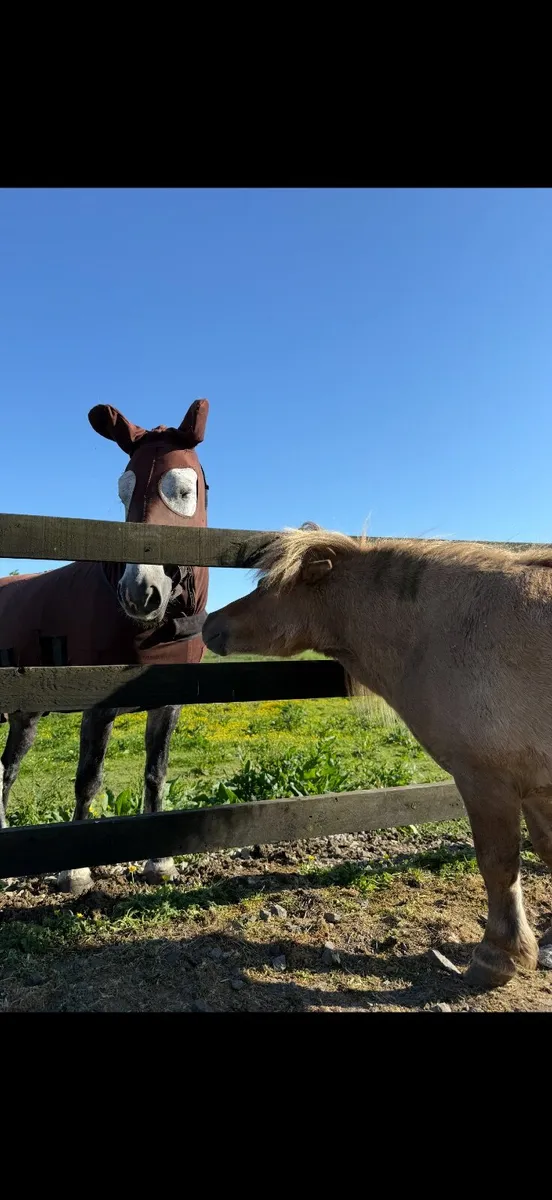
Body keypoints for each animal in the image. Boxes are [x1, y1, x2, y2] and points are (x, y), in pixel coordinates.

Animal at [0, 398, 209, 895]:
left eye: (182, 489)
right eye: (122, 493)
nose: (140, 591)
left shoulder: (168, 704)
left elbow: (156, 773)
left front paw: (158, 862)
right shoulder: (97, 705)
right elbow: (88, 780)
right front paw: (73, 871)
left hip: (23, 714)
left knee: (5, 769)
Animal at [203, 524, 552, 990]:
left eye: (265, 586)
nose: (209, 624)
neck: (451, 631)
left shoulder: (487, 782)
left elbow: (498, 865)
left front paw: (498, 956)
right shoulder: (535, 788)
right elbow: (547, 850)